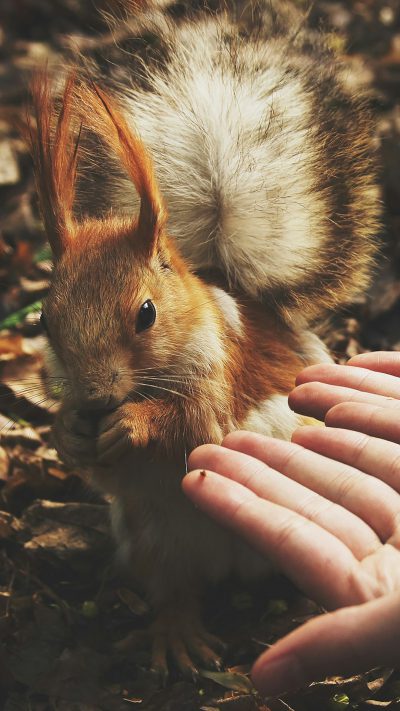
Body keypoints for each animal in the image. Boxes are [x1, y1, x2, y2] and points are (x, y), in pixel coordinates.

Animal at [26, 0, 380, 680]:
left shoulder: (223, 369)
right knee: (175, 589)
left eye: (145, 313)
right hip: (155, 539)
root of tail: (233, 564)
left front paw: (134, 423)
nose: (94, 397)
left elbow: (201, 422)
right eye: (43, 321)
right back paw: (177, 634)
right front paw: (69, 432)